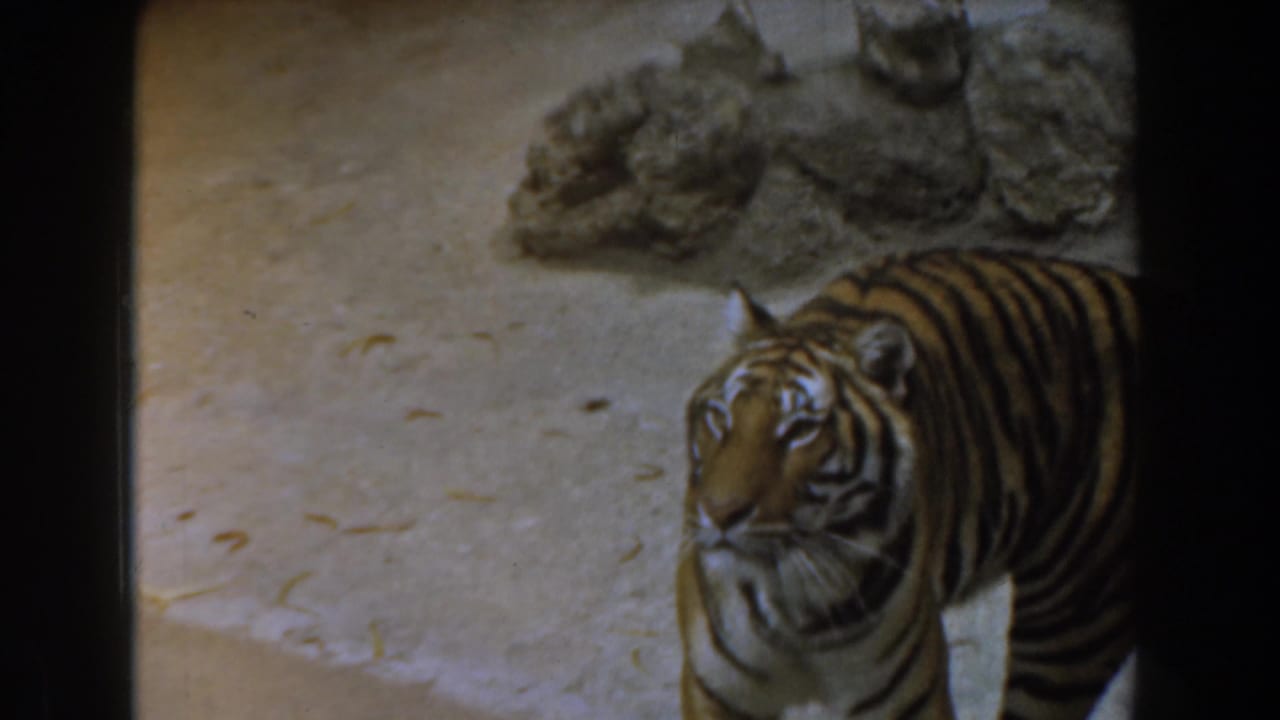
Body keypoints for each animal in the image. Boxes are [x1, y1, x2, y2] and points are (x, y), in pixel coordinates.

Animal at [676, 248, 1139, 720]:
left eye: (801, 430)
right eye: (720, 417)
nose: (719, 513)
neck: (798, 609)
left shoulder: (906, 700)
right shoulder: (713, 690)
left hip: (1071, 626)